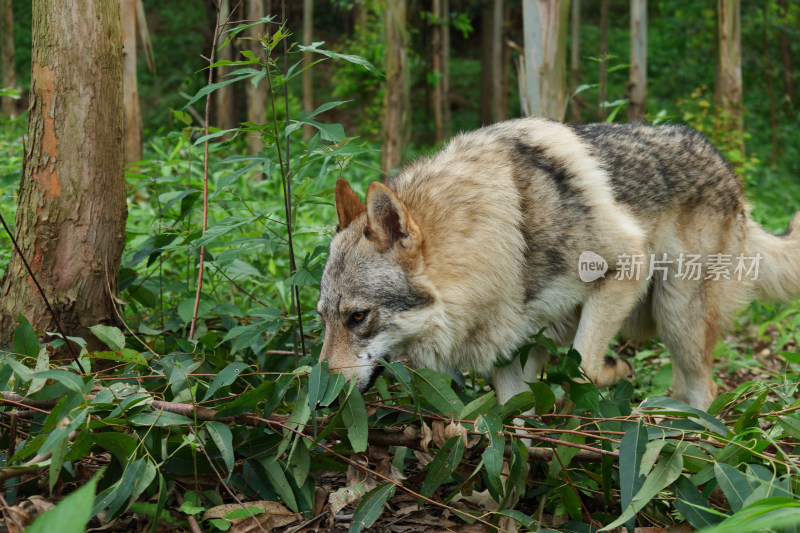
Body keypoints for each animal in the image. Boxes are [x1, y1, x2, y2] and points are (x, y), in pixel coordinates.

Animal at [316, 119, 796, 412]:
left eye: (357, 317)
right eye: (323, 318)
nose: (322, 402)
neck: (503, 233)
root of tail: (728, 169)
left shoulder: (626, 265)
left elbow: (583, 369)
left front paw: (613, 374)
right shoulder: (510, 346)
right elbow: (516, 418)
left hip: (677, 320)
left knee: (704, 388)